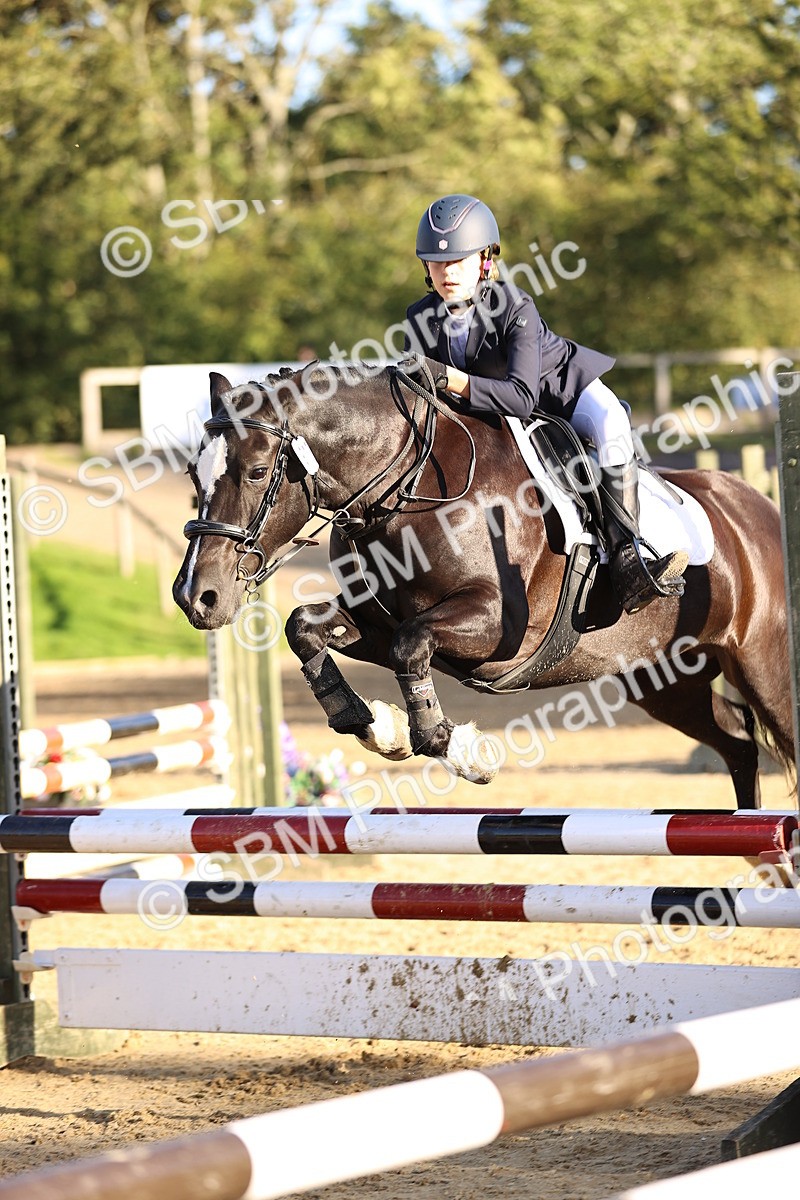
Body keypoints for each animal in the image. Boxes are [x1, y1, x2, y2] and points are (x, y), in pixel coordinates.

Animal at [173, 364, 795, 809]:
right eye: (192, 476)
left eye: (257, 472)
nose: (196, 597)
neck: (410, 487)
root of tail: (758, 507)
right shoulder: (375, 620)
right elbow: (306, 627)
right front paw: (373, 724)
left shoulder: (498, 628)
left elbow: (412, 646)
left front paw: (461, 750)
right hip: (665, 680)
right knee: (738, 744)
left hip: (761, 665)